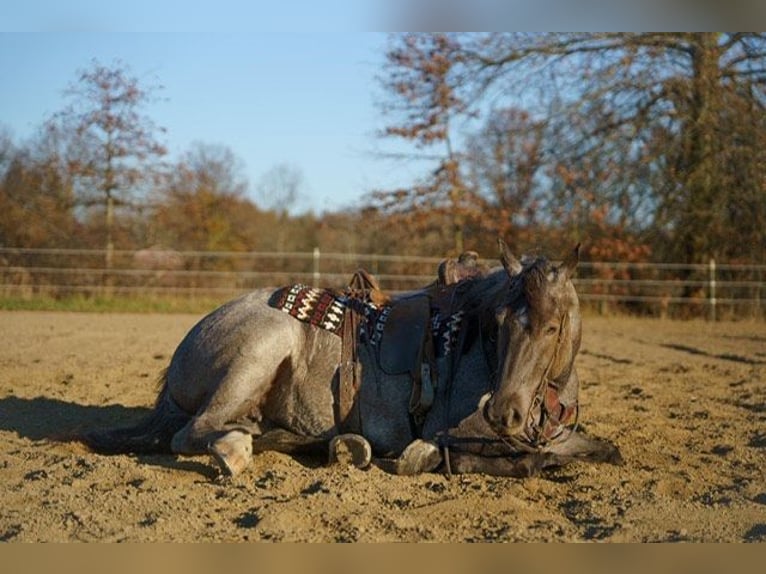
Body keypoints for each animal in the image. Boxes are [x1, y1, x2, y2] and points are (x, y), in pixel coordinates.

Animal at [83, 239, 622, 477]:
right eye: (500, 321)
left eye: (552, 326)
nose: (504, 412)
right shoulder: (454, 434)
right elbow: (517, 461)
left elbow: (604, 450)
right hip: (260, 351)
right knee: (193, 432)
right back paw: (237, 449)